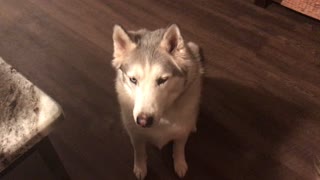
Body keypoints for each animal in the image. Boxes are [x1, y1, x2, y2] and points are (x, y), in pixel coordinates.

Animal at [112, 24, 202, 180]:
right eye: (133, 79)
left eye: (162, 80)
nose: (143, 121)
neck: (163, 118)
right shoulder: (135, 134)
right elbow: (139, 151)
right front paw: (140, 167)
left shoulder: (181, 132)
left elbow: (179, 147)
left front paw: (180, 163)